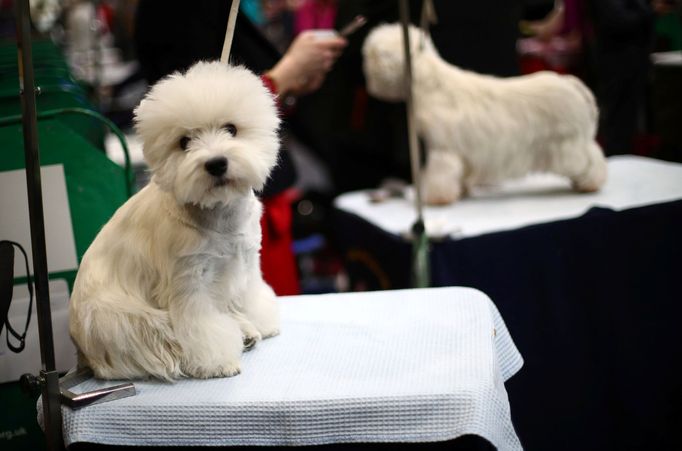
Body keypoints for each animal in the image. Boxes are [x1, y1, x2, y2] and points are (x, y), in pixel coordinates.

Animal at [69, 61, 282, 382]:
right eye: (184, 142)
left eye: (231, 129)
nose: (216, 163)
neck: (218, 214)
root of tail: (82, 352)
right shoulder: (188, 281)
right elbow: (199, 328)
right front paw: (217, 362)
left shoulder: (246, 262)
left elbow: (250, 295)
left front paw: (261, 320)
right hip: (119, 319)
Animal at [362, 23, 604, 206]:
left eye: (371, 57)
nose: (367, 82)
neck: (431, 84)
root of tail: (572, 83)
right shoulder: (462, 154)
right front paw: (461, 191)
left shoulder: (442, 150)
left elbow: (438, 176)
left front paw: (434, 198)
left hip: (568, 145)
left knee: (592, 161)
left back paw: (590, 184)